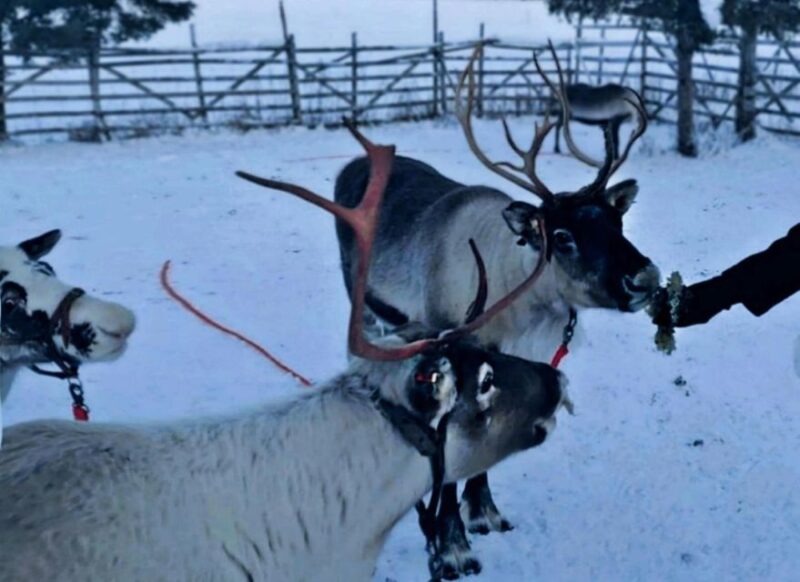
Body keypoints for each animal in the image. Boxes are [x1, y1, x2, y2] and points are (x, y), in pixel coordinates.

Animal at [328, 42, 659, 579]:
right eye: (561, 237)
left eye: (618, 221)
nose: (645, 279)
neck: (520, 304)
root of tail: (351, 166)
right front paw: (452, 547)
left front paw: (484, 512)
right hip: (365, 304)